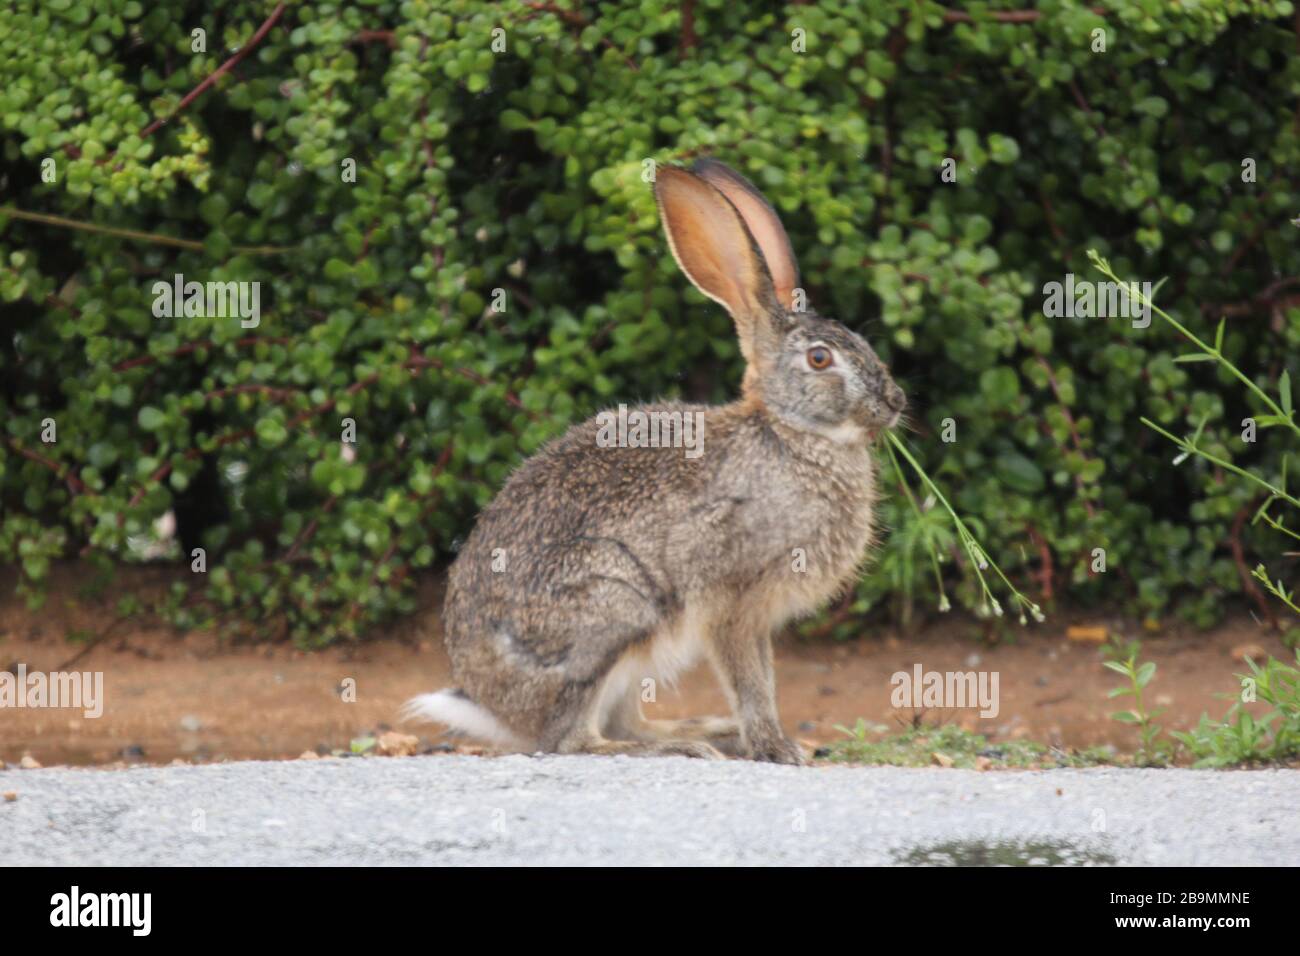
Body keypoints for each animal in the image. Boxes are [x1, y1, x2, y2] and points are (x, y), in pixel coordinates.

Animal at [404, 159, 906, 764]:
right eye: (819, 359)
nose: (895, 402)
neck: (792, 434)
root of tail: (491, 702)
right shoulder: (731, 600)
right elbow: (751, 680)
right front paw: (777, 748)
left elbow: (762, 676)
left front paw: (771, 742)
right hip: (615, 608)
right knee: (570, 740)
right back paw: (683, 749)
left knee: (618, 721)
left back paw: (704, 734)